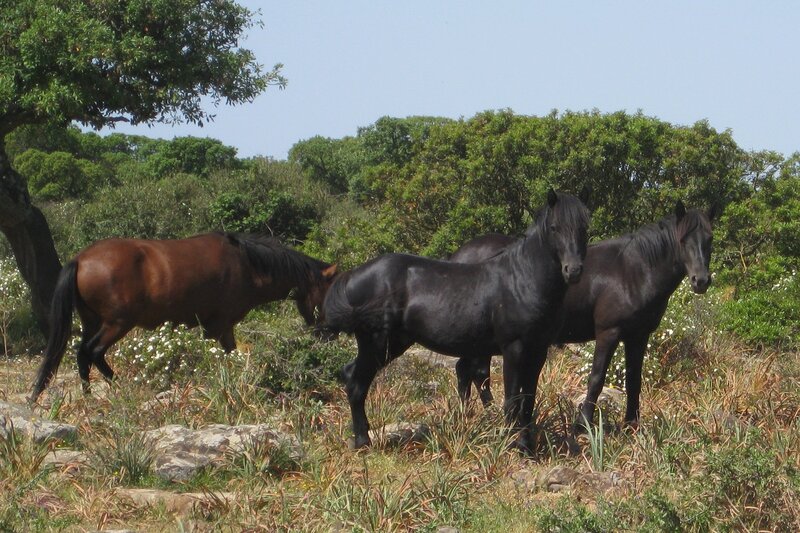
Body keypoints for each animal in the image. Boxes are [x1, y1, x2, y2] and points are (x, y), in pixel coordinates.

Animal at [30, 232, 338, 403]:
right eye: (328, 292)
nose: (329, 335)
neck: (248, 265)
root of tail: (81, 259)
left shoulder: (219, 328)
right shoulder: (219, 326)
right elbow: (220, 357)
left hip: (92, 321)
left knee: (82, 354)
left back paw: (90, 393)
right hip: (116, 324)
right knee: (91, 352)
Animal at [319, 191, 590, 450]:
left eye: (584, 228)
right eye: (554, 227)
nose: (574, 270)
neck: (521, 279)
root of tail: (353, 275)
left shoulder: (538, 350)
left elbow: (528, 400)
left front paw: (527, 446)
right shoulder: (514, 349)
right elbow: (512, 400)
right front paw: (514, 444)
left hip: (392, 344)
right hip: (377, 344)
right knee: (356, 383)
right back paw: (363, 442)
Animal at [450, 201, 717, 430]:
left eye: (710, 238)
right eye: (682, 239)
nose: (701, 280)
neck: (634, 271)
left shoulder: (638, 336)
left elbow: (634, 380)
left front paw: (631, 425)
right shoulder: (608, 333)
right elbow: (597, 378)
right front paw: (583, 424)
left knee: (466, 371)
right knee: (477, 373)